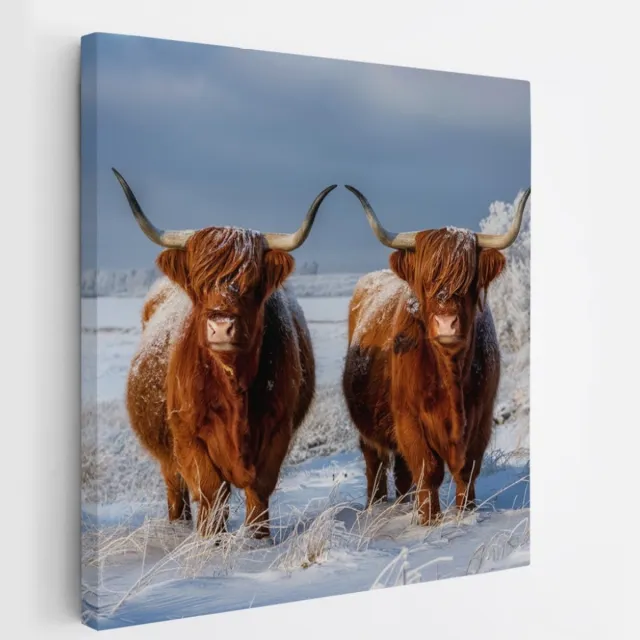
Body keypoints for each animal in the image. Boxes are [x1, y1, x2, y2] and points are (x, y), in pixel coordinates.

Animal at [112, 168, 337, 538]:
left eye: (252, 284)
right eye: (199, 283)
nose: (220, 326)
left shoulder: (278, 429)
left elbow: (260, 487)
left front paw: (258, 538)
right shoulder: (188, 435)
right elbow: (210, 490)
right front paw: (211, 540)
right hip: (166, 453)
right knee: (176, 488)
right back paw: (178, 526)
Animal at [341, 185, 531, 526]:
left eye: (468, 280)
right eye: (427, 280)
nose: (446, 323)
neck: (450, 371)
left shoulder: (481, 419)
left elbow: (467, 470)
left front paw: (465, 513)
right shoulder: (409, 419)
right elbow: (428, 470)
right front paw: (428, 521)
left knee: (402, 473)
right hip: (370, 429)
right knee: (375, 462)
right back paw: (377, 505)